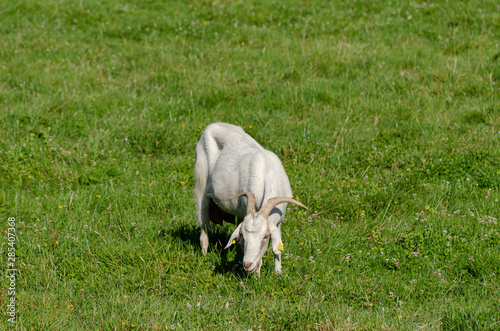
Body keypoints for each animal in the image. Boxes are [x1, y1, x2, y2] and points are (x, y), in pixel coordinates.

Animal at [193, 123, 306, 276]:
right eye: (243, 236)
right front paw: (256, 275)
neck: (268, 173)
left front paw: (278, 272)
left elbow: (277, 249)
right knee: (203, 228)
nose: (247, 264)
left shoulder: (279, 221)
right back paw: (205, 255)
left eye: (265, 237)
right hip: (202, 188)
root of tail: (211, 126)